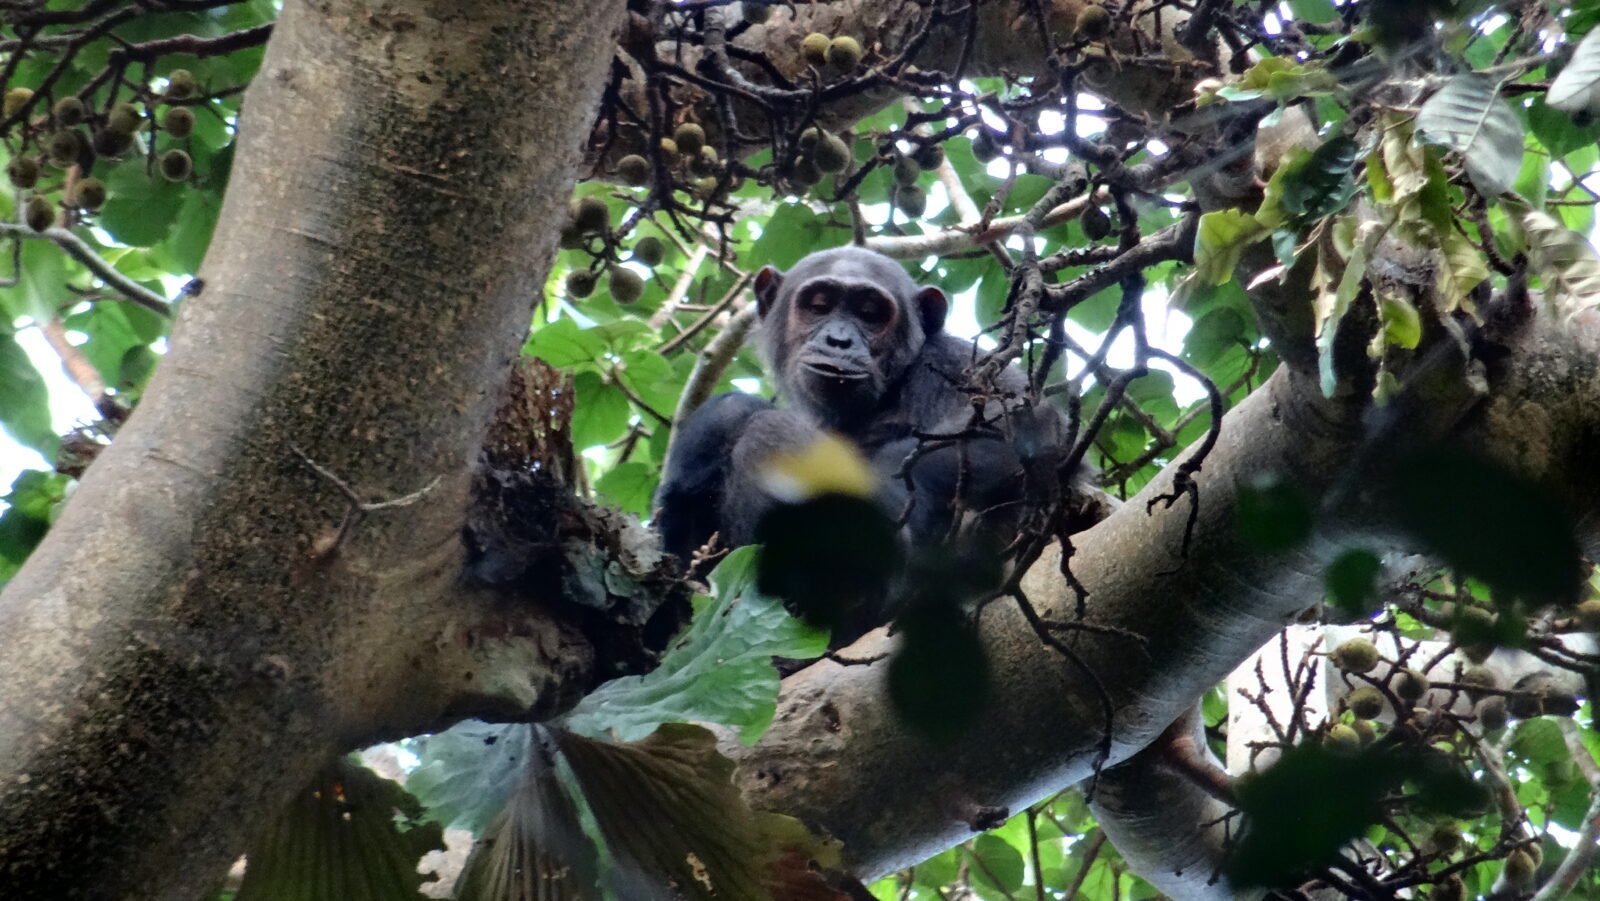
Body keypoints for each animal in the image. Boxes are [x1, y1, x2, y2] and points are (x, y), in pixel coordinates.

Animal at [654, 246, 1070, 644]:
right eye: (819, 305)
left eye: (870, 314)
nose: (839, 339)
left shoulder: (955, 363)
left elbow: (1018, 430)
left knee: (765, 428)